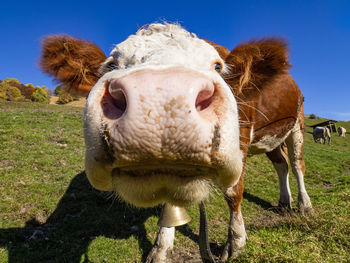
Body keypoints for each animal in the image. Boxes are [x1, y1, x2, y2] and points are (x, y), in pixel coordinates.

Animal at [39, 23, 314, 262]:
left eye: (218, 66)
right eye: (111, 64)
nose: (160, 95)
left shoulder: (242, 139)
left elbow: (233, 192)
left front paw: (235, 242)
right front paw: (162, 246)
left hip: (297, 124)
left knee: (297, 164)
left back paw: (304, 204)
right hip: (272, 139)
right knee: (281, 164)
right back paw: (284, 202)